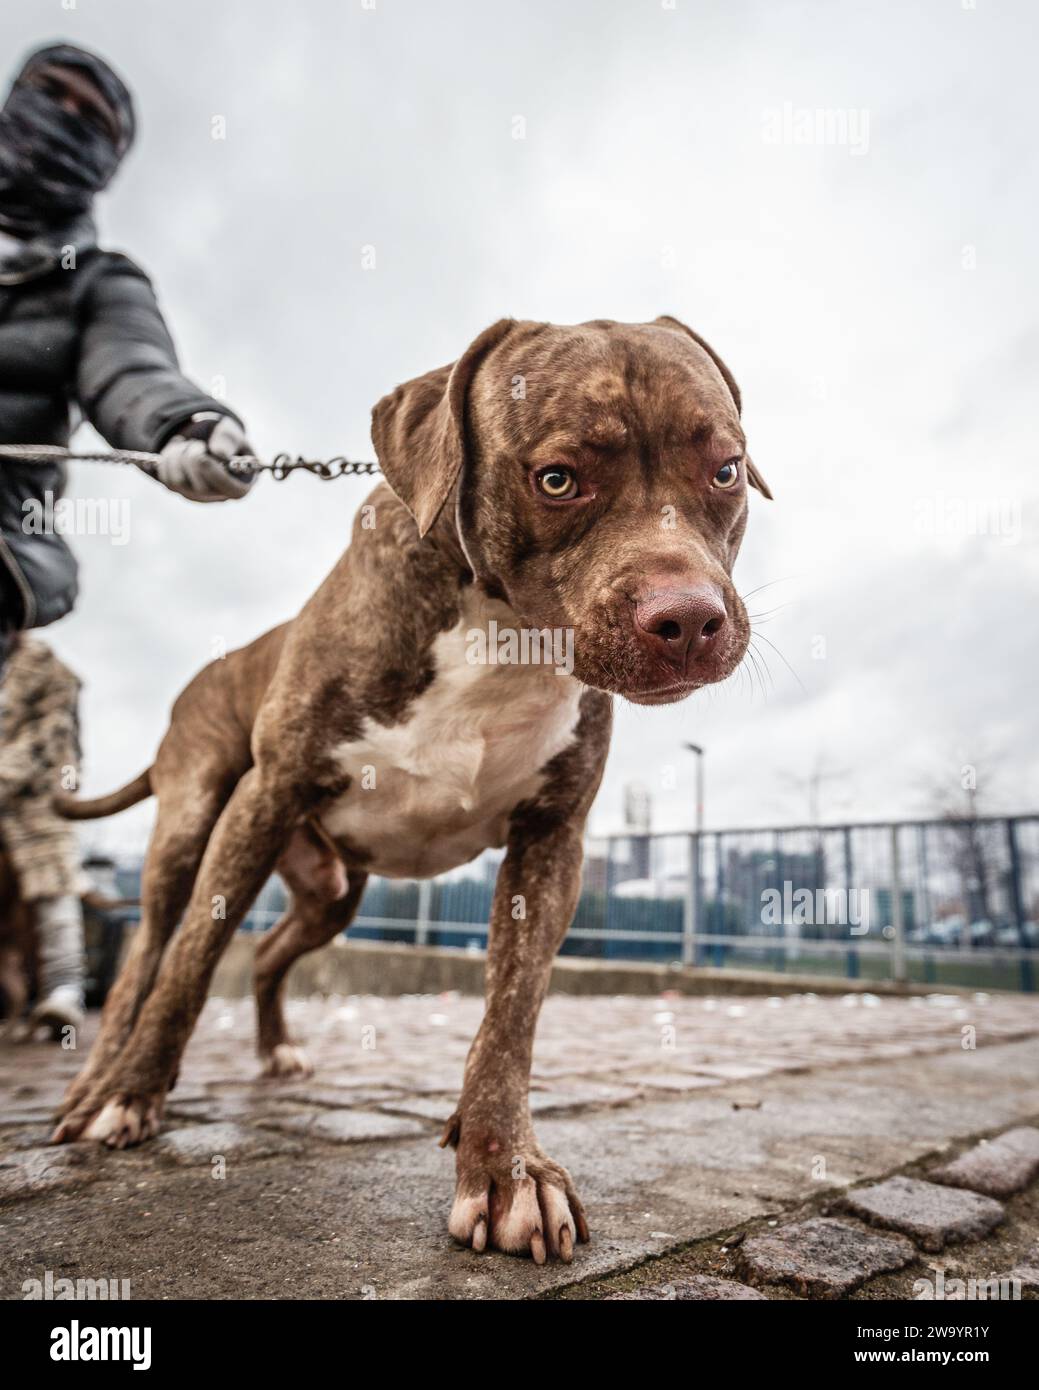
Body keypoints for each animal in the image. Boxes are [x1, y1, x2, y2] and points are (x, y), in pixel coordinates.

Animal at [54, 312, 773, 1262]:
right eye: (557, 479)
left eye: (723, 470)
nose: (688, 618)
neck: (500, 627)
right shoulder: (266, 796)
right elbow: (188, 969)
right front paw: (132, 1097)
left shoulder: (551, 841)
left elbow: (511, 1014)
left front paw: (506, 1170)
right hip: (194, 822)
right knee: (149, 954)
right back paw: (100, 1084)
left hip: (330, 890)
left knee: (273, 954)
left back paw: (276, 1051)